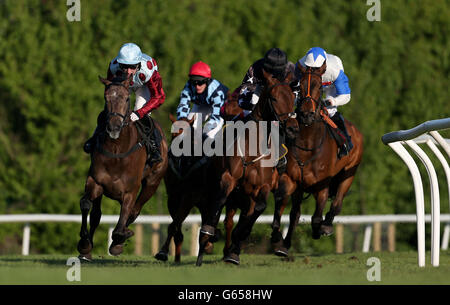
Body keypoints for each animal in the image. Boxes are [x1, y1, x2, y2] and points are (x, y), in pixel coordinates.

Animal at [77, 75, 169, 258]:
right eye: (106, 98)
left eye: (127, 98)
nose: (114, 127)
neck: (117, 150)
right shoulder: (95, 181)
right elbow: (86, 205)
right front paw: (84, 244)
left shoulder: (130, 191)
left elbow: (121, 225)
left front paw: (120, 240)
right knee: (96, 215)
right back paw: (87, 251)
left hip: (152, 183)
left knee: (134, 211)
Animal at [196, 69, 298, 264]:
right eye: (274, 98)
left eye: (292, 97)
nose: (292, 129)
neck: (253, 149)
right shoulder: (228, 178)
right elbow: (219, 202)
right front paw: (209, 232)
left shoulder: (263, 186)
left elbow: (259, 208)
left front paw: (238, 240)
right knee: (217, 209)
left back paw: (233, 250)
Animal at [268, 64, 364, 256]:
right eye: (299, 86)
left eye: (320, 87)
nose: (306, 114)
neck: (308, 143)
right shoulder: (291, 180)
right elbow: (285, 205)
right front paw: (278, 239)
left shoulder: (322, 185)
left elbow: (317, 216)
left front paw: (319, 228)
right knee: (295, 213)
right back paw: (286, 244)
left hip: (349, 174)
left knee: (337, 203)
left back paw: (326, 226)